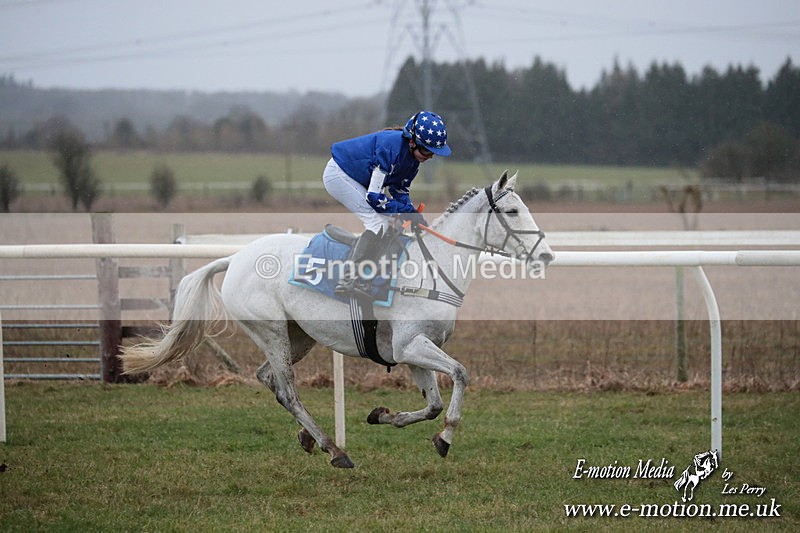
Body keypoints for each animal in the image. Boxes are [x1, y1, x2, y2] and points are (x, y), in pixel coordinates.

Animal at [121, 170, 554, 468]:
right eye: (512, 210)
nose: (547, 254)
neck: (432, 268)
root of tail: (236, 257)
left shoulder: (413, 348)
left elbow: (431, 403)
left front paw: (385, 416)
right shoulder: (410, 345)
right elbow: (461, 374)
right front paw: (445, 438)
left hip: (298, 336)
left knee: (268, 378)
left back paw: (309, 438)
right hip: (272, 330)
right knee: (288, 391)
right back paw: (334, 450)